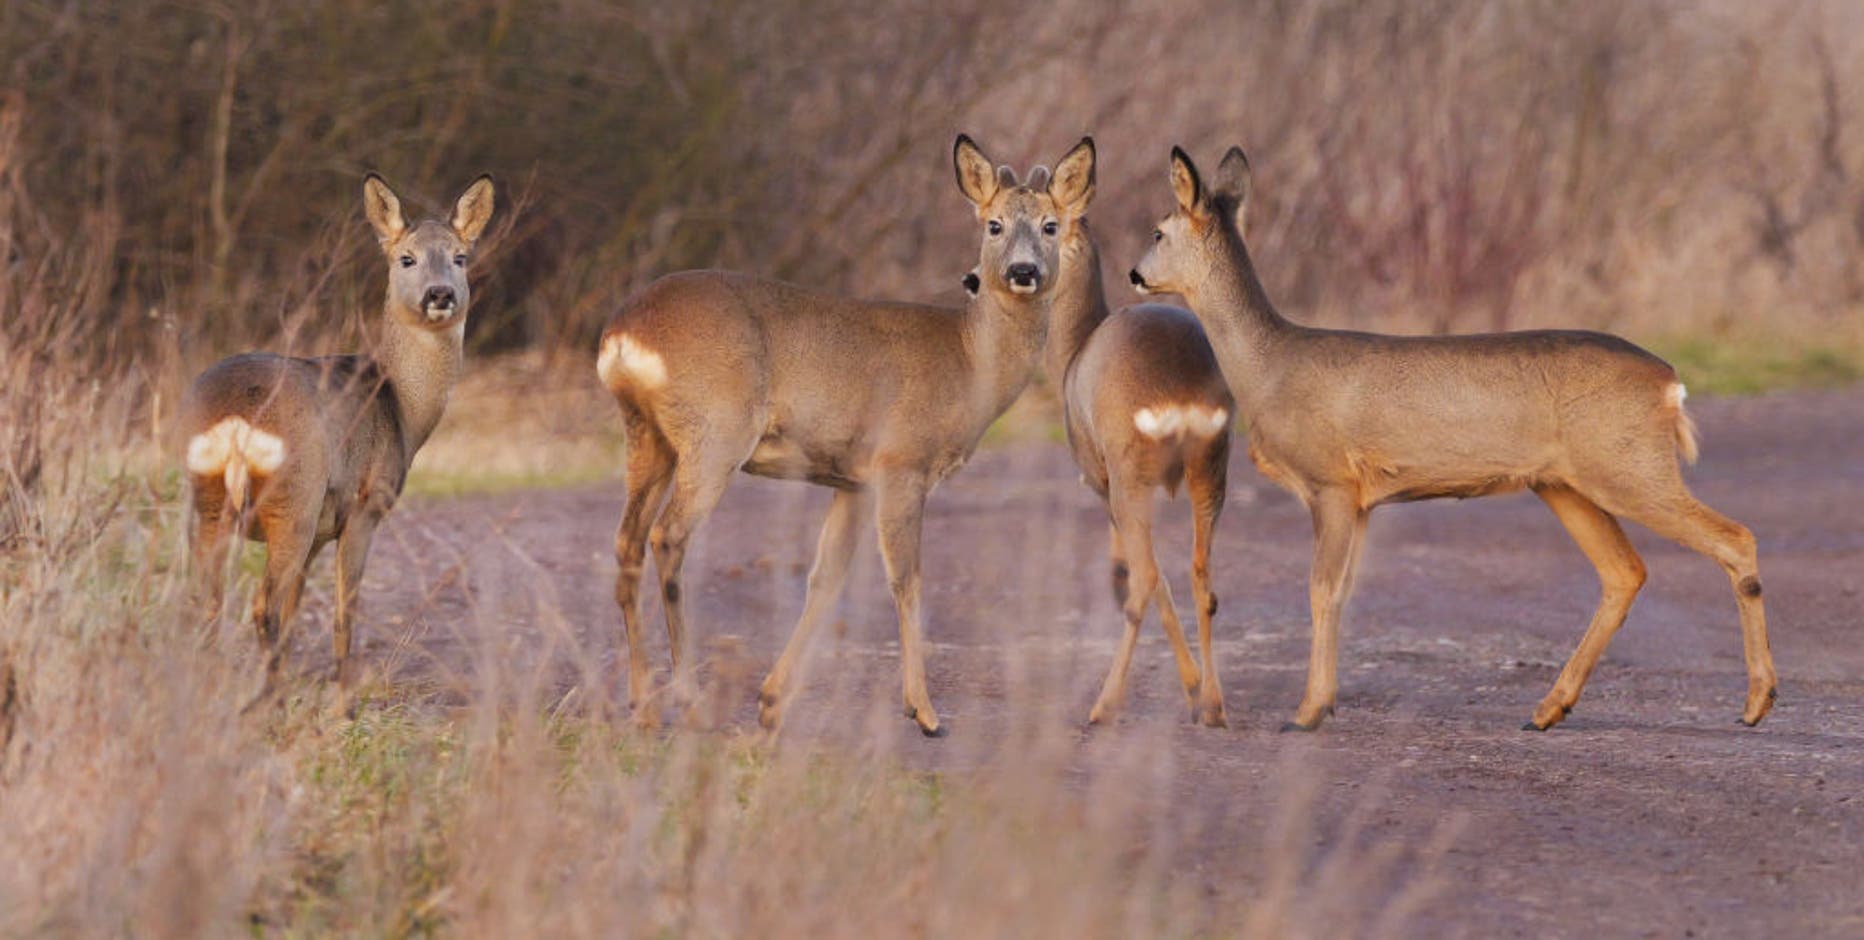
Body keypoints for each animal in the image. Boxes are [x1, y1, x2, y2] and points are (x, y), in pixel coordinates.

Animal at [183, 173, 496, 689]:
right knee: (261, 605)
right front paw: (344, 697)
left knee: (207, 603)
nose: (439, 294)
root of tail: (234, 421)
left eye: (460, 257)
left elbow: (297, 615)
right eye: (406, 258)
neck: (402, 406)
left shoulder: (320, 533)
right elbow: (344, 613)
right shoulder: (366, 506)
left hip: (210, 500)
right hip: (295, 500)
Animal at [597, 136, 1087, 737]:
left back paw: (644, 706)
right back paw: (689, 702)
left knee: (627, 541)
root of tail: (625, 333)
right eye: (993, 224)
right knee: (668, 537)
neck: (969, 362)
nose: (1023, 271)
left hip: (648, 436)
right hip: (716, 433)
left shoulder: (853, 481)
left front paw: (772, 701)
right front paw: (924, 712)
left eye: (1050, 225)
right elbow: (906, 580)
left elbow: (825, 578)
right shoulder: (902, 464)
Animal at [961, 139, 1233, 728]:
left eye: (1049, 226)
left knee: (1149, 579)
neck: (1073, 350)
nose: (973, 279)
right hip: (1212, 466)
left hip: (1131, 470)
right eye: (996, 225)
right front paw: (1194, 690)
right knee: (1203, 577)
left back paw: (1104, 705)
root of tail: (1181, 396)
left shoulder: (1096, 473)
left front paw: (1184, 686)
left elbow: (1141, 571)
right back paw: (1215, 706)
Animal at [1130, 146, 1776, 732]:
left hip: (1627, 463)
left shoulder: (1331, 481)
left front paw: (1308, 712)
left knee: (1734, 537)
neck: (1269, 368)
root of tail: (1670, 382)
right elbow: (1342, 592)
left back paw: (1756, 702)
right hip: (1564, 482)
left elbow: (1319, 589)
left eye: (1158, 230)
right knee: (1625, 572)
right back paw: (1548, 710)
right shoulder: (1361, 500)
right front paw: (1324, 702)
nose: (1135, 275)